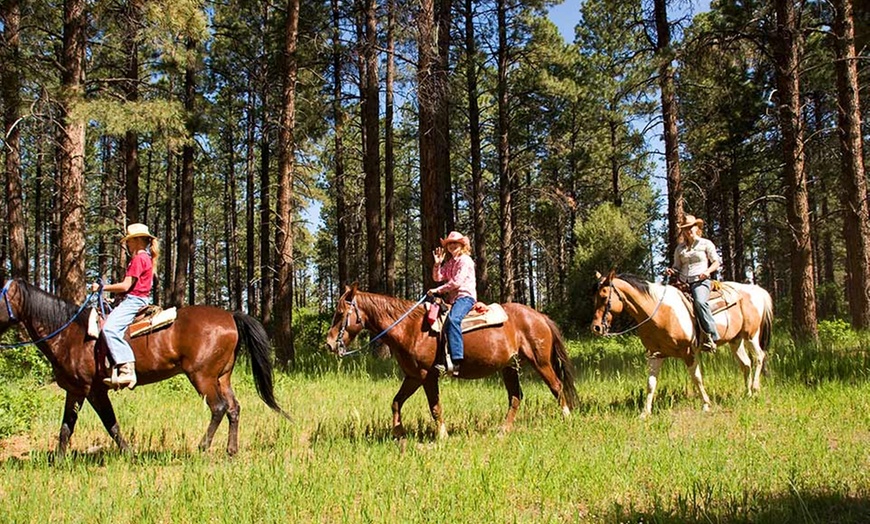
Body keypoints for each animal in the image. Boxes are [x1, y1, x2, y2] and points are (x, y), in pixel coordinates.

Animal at [0, 280, 290, 456]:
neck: (71, 334)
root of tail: (230, 315)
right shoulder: (83, 391)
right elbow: (82, 426)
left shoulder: (87, 390)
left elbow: (96, 424)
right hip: (222, 376)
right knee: (233, 408)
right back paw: (231, 450)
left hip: (202, 376)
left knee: (218, 408)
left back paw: (202, 447)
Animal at [324, 286, 576, 438]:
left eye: (340, 313)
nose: (329, 344)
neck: (411, 328)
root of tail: (539, 316)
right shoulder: (413, 376)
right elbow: (396, 402)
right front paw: (398, 433)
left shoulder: (427, 375)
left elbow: (434, 407)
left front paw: (442, 435)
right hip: (509, 367)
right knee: (515, 397)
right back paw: (502, 431)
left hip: (541, 362)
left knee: (557, 386)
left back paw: (567, 419)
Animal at [588, 270, 772, 418]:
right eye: (594, 299)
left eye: (604, 297)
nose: (596, 328)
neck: (659, 312)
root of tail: (757, 290)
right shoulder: (655, 354)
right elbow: (651, 383)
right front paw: (645, 412)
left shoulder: (689, 352)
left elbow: (696, 378)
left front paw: (706, 405)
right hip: (736, 340)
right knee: (746, 364)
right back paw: (748, 393)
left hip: (751, 336)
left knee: (759, 357)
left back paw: (756, 389)